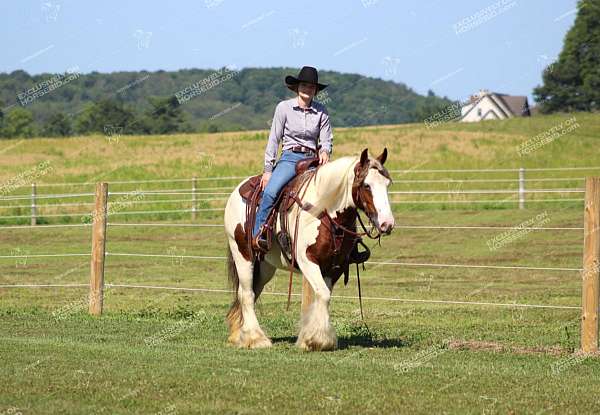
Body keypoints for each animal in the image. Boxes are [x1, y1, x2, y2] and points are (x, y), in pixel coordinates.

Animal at [220, 149, 394, 352]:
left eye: (387, 184)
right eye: (367, 185)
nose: (387, 224)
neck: (325, 210)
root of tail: (237, 190)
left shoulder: (334, 266)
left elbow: (323, 296)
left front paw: (311, 338)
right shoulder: (307, 261)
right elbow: (322, 295)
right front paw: (318, 340)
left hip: (265, 266)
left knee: (252, 290)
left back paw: (239, 334)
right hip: (242, 254)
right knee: (246, 294)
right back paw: (256, 338)